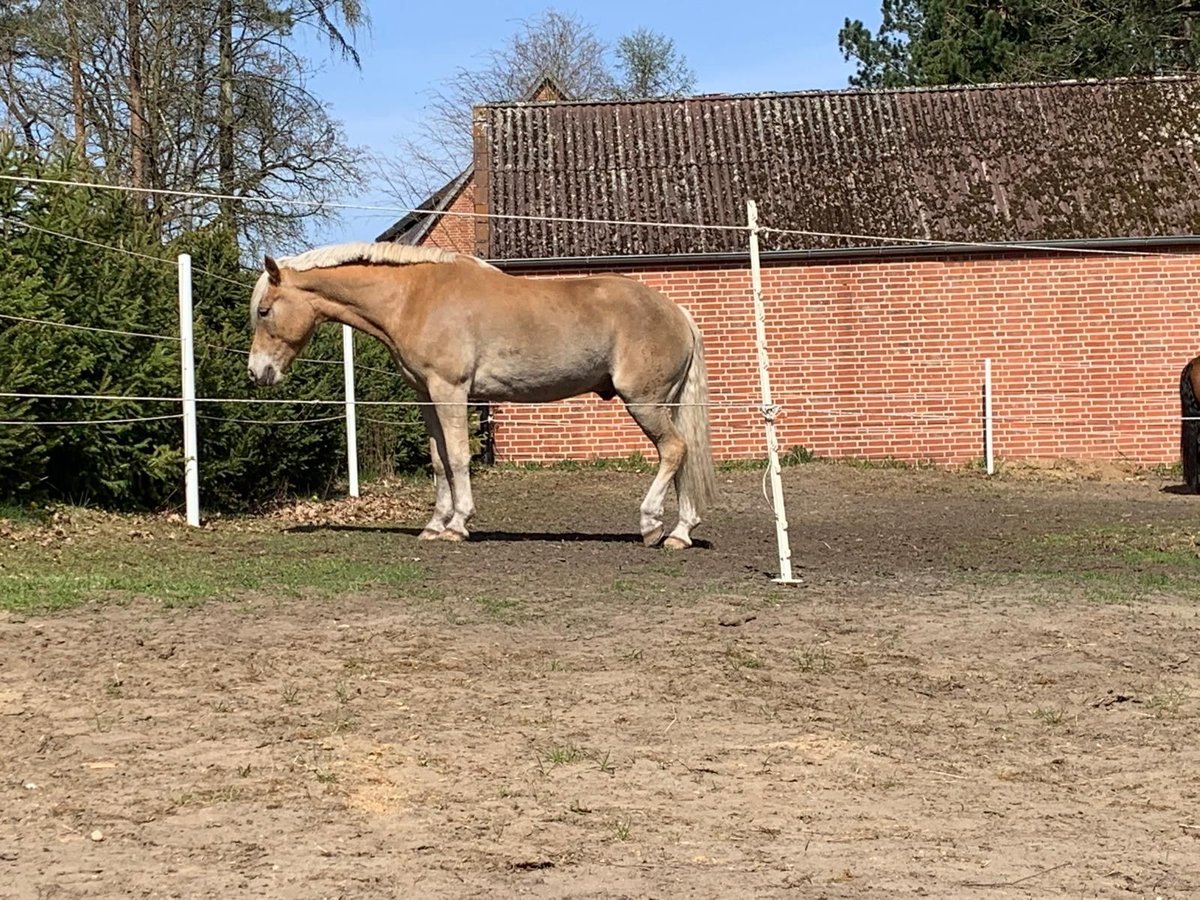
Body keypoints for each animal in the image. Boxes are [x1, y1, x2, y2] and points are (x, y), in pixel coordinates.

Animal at [247, 241, 717, 548]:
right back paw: (680, 532)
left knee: (673, 450)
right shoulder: (425, 395)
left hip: (645, 402)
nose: (257, 372)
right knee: (681, 455)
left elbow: (457, 457)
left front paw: (458, 524)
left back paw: (652, 525)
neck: (415, 296)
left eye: (265, 311)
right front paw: (434, 525)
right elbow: (438, 460)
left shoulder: (450, 390)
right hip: (665, 403)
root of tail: (676, 312)